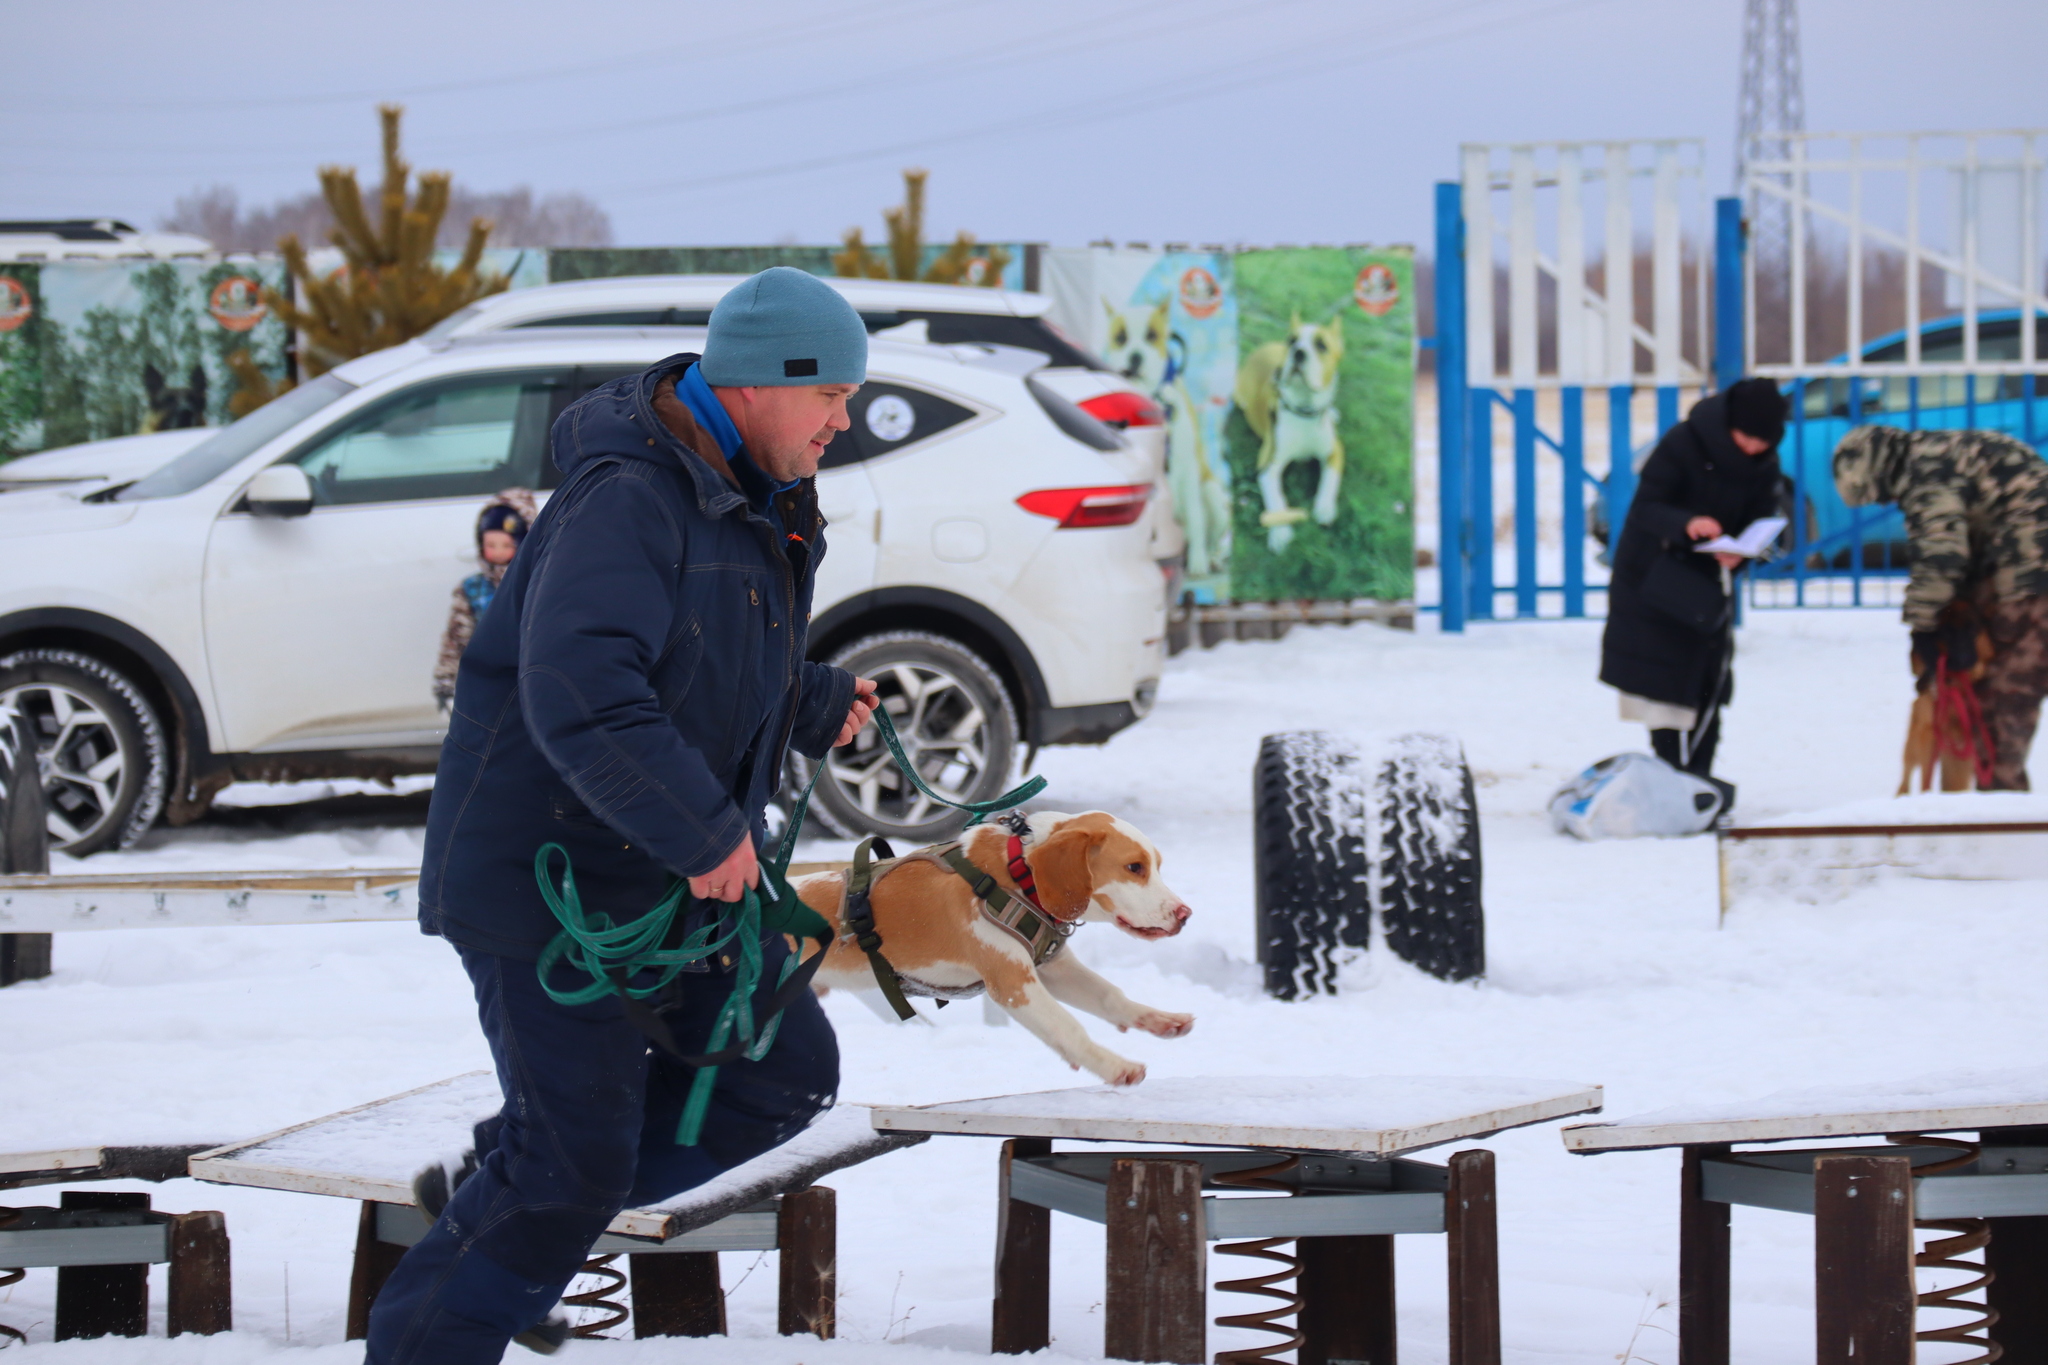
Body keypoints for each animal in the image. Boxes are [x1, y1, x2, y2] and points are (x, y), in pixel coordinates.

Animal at [790, 810, 1196, 1088]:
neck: (1016, 872)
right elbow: (1069, 1027)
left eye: (1156, 866)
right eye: (1134, 867)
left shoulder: (1054, 969)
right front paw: (1114, 1066)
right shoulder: (1013, 984)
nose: (1185, 914)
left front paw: (1158, 1019)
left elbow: (1111, 996)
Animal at [1228, 315, 1343, 556]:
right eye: (1292, 340)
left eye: (1322, 345)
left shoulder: (1335, 452)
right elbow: (1276, 498)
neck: (1304, 410)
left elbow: (1330, 479)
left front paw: (1325, 507)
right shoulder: (1267, 466)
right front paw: (1280, 533)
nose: (1298, 352)